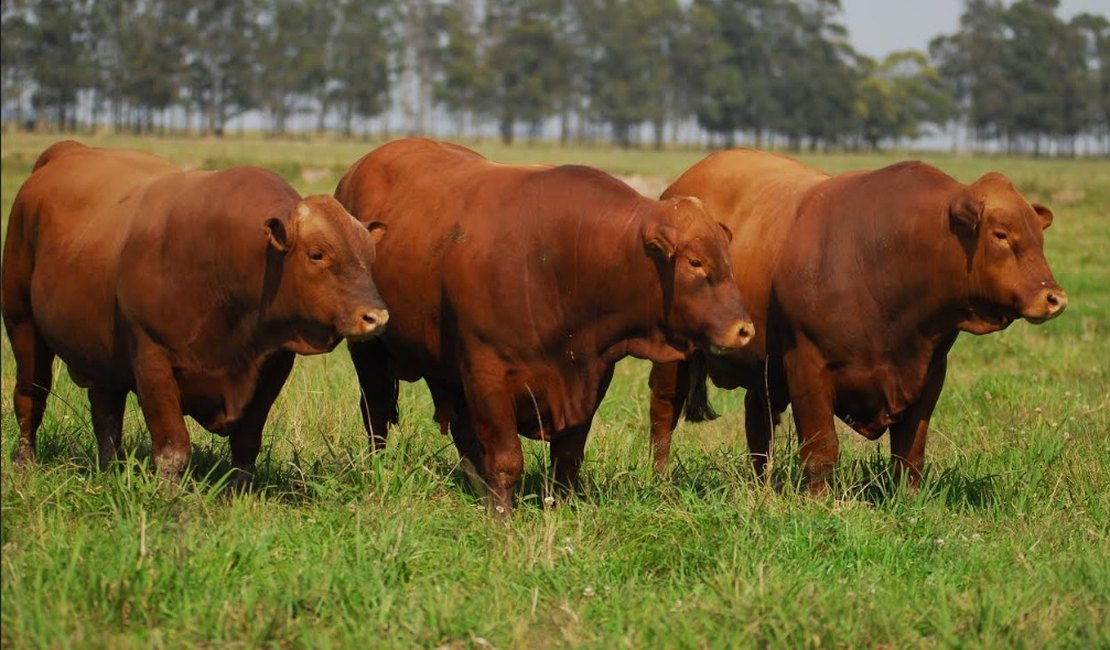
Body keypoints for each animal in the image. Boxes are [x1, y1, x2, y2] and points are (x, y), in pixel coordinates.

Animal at [3, 141, 390, 479]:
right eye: (317, 254)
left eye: (370, 256)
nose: (376, 317)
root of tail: (69, 150)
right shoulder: (153, 360)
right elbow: (172, 448)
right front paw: (168, 496)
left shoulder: (272, 366)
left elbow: (247, 443)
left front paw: (239, 496)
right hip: (22, 323)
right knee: (31, 394)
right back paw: (26, 462)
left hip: (99, 355)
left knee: (106, 413)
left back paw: (110, 469)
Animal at [335, 138, 754, 510]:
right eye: (695, 262)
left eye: (727, 258)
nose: (743, 329)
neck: (562, 259)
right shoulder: (487, 375)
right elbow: (505, 459)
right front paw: (500, 516)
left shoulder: (592, 376)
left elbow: (567, 458)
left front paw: (557, 507)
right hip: (368, 349)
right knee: (376, 413)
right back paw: (376, 472)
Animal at [648, 147, 1065, 490]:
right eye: (1001, 234)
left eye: (1039, 236)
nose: (1054, 298)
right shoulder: (807, 364)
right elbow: (821, 449)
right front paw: (818, 503)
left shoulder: (930, 371)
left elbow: (910, 451)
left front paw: (907, 502)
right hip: (674, 356)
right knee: (664, 412)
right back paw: (661, 481)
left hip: (763, 366)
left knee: (758, 422)